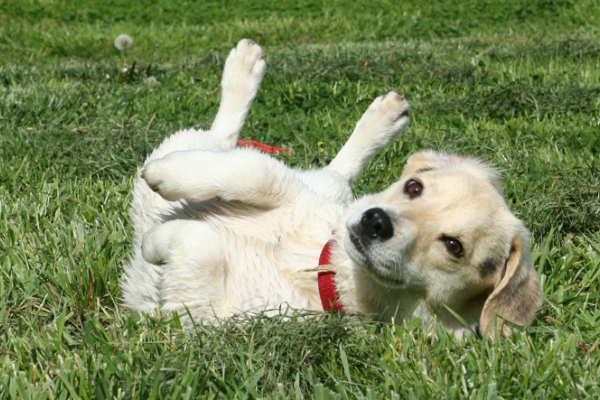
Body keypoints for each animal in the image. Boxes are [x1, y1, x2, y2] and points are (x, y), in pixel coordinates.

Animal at [119, 39, 540, 338]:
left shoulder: (207, 322)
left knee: (224, 137)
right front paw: (170, 175)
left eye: (454, 247)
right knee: (253, 149)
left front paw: (155, 240)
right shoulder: (290, 193)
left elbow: (199, 244)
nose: (375, 221)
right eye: (413, 187)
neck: (323, 266)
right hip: (317, 186)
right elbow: (257, 172)